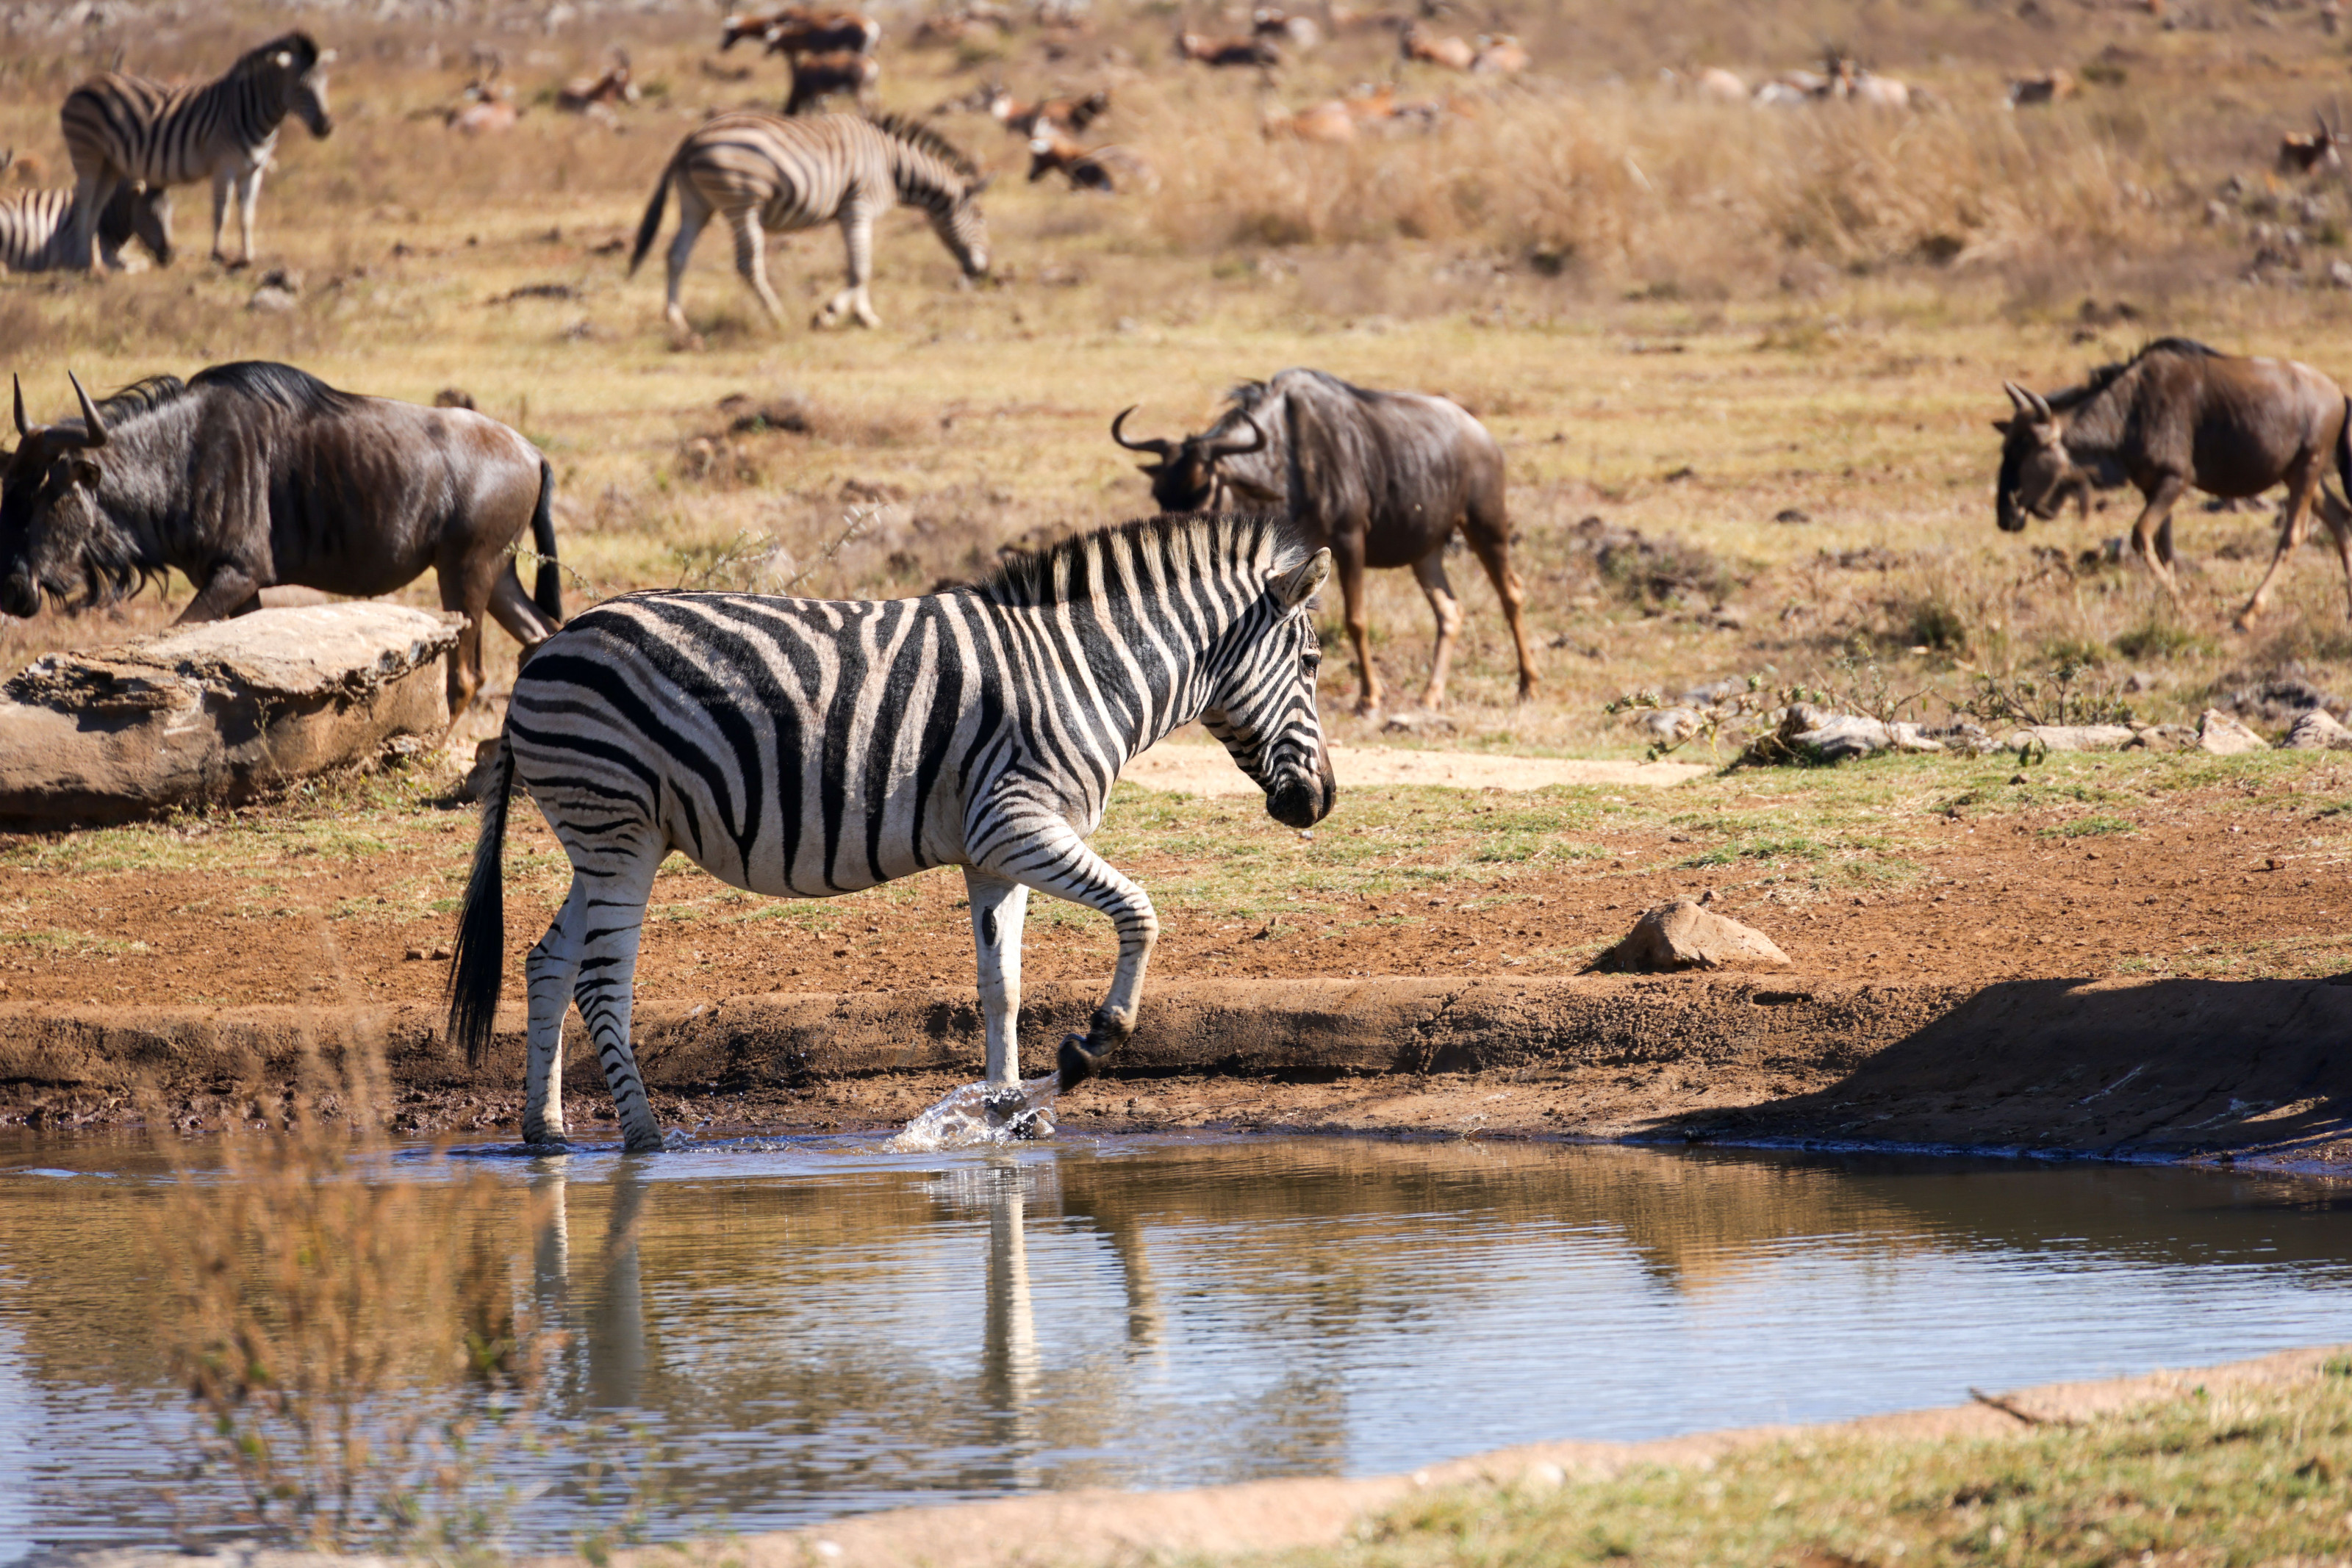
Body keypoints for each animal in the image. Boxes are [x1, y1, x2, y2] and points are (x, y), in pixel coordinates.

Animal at [0, 182, 172, 274]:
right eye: (149, 213)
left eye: (172, 211)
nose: (170, 255)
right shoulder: (100, 254)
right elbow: (141, 264)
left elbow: (142, 261)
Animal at [59, 31, 334, 274]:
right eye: (301, 87)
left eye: (325, 84)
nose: (326, 127)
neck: (252, 113)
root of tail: (80, 86)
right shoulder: (224, 166)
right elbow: (221, 213)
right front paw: (218, 255)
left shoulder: (254, 170)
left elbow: (247, 216)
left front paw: (247, 258)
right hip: (87, 154)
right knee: (83, 204)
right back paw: (83, 264)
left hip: (110, 164)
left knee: (96, 207)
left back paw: (95, 265)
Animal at [446, 512, 1336, 1153]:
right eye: (1314, 663)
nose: (1321, 803)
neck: (1088, 672)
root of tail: (542, 654)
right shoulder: (1016, 822)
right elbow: (1140, 912)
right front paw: (1091, 1045)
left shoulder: (993, 854)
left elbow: (1000, 987)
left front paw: (1008, 1114)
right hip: (616, 829)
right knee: (601, 982)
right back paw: (643, 1138)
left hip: (605, 838)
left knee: (547, 961)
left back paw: (546, 1133)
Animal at [628, 110, 989, 332]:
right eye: (981, 217)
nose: (982, 271)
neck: (893, 166)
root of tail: (689, 141)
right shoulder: (858, 207)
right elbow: (861, 268)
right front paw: (829, 314)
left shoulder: (850, 213)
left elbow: (858, 266)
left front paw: (864, 317)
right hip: (742, 204)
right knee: (748, 264)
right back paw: (777, 316)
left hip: (696, 204)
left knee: (676, 255)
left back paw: (676, 321)